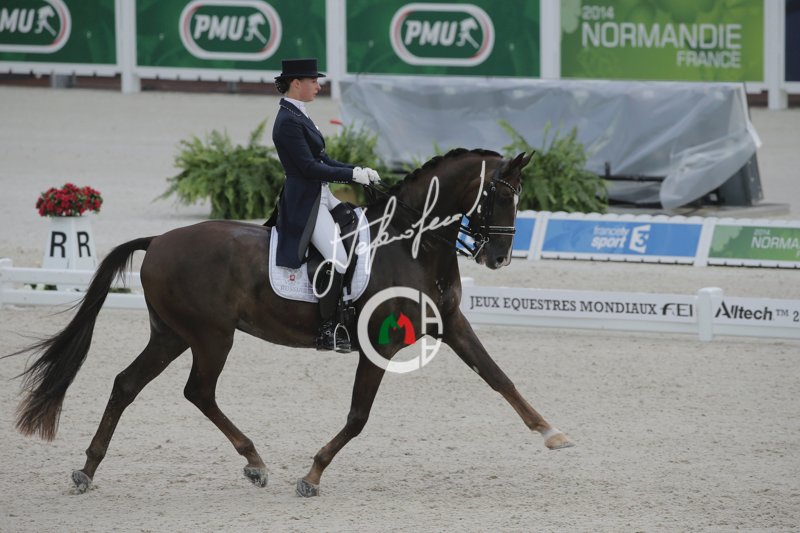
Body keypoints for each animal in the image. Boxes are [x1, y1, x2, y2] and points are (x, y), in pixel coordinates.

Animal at [6, 148, 573, 497]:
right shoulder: (379, 343)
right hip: (211, 336)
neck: (414, 243)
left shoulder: (451, 324)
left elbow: (499, 378)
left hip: (171, 335)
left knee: (127, 384)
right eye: (498, 194)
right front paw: (312, 476)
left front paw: (552, 434)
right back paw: (254, 462)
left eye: (520, 198)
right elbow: (358, 416)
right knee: (198, 392)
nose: (498, 257)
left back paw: (87, 469)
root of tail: (159, 241)